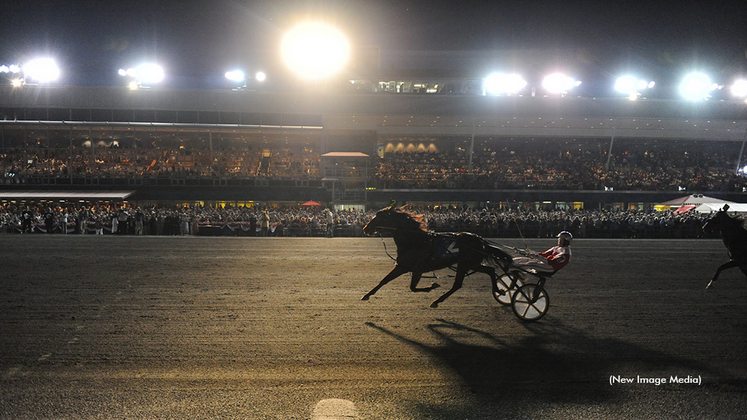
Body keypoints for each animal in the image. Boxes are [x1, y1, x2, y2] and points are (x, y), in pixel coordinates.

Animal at [360, 207, 512, 308]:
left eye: (379, 217)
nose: (366, 229)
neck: (415, 240)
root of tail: (481, 240)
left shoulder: (408, 268)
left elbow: (400, 284)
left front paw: (432, 286)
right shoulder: (410, 268)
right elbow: (391, 282)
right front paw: (366, 295)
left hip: (465, 264)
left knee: (458, 284)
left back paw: (437, 301)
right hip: (472, 263)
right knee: (490, 270)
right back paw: (498, 290)